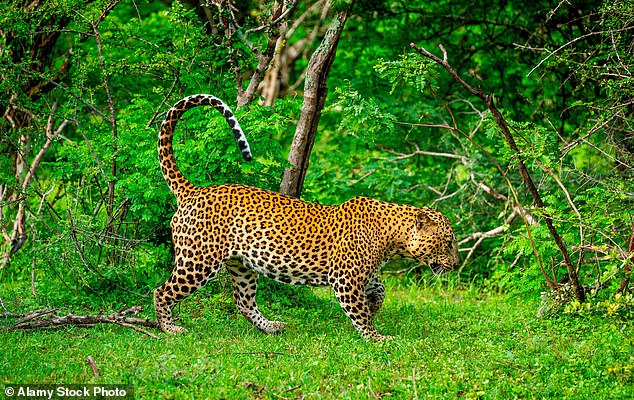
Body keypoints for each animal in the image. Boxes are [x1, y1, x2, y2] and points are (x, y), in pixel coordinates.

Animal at [154, 94, 460, 340]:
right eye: (447, 243)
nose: (456, 264)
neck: (392, 236)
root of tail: (194, 191)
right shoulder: (346, 278)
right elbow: (359, 312)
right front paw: (376, 337)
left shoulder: (364, 274)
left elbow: (380, 290)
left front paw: (375, 307)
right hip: (198, 261)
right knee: (162, 291)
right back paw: (170, 329)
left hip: (241, 265)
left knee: (243, 302)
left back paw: (271, 326)